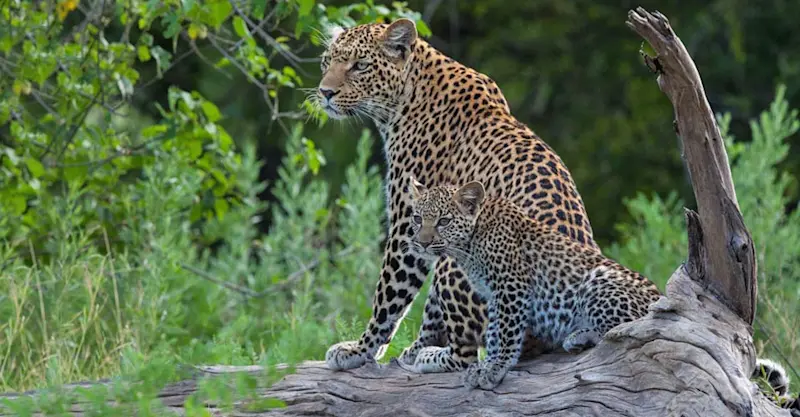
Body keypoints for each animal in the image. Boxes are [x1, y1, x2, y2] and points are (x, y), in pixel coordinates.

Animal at [317, 17, 601, 373]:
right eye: (327, 62)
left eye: (360, 65)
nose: (325, 93)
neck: (402, 102)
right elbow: (431, 308)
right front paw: (411, 348)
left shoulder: (408, 225)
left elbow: (389, 296)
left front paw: (360, 349)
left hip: (460, 264)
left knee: (469, 357)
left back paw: (431, 358)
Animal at [403, 178, 662, 389]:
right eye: (417, 219)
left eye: (444, 221)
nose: (422, 243)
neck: (469, 245)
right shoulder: (494, 293)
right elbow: (495, 330)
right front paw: (487, 364)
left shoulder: (511, 284)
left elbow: (507, 330)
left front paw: (496, 367)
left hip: (597, 279)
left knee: (626, 331)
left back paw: (580, 336)